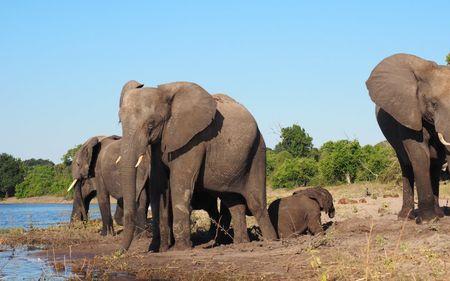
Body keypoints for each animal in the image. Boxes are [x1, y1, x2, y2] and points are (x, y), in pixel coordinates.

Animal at [118, 80, 276, 250]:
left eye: (150, 124)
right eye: (120, 121)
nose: (120, 252)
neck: (165, 94)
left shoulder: (194, 141)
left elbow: (179, 184)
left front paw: (181, 249)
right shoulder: (158, 144)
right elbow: (157, 186)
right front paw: (159, 249)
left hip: (258, 151)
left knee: (256, 203)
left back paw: (271, 241)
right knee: (234, 202)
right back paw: (241, 243)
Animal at [368, 53, 450, 222]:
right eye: (433, 104)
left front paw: (432, 218)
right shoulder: (408, 113)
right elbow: (419, 155)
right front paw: (427, 220)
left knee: (435, 165)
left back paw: (439, 214)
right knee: (406, 165)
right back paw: (406, 217)